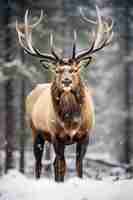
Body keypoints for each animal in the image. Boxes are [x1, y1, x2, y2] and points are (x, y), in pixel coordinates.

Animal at [15, 6, 113, 182]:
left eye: (74, 70)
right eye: (58, 70)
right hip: (35, 131)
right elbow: (61, 166)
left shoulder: (85, 135)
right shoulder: (56, 136)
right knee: (39, 163)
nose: (66, 81)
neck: (71, 121)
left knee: (53, 163)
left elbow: (78, 166)